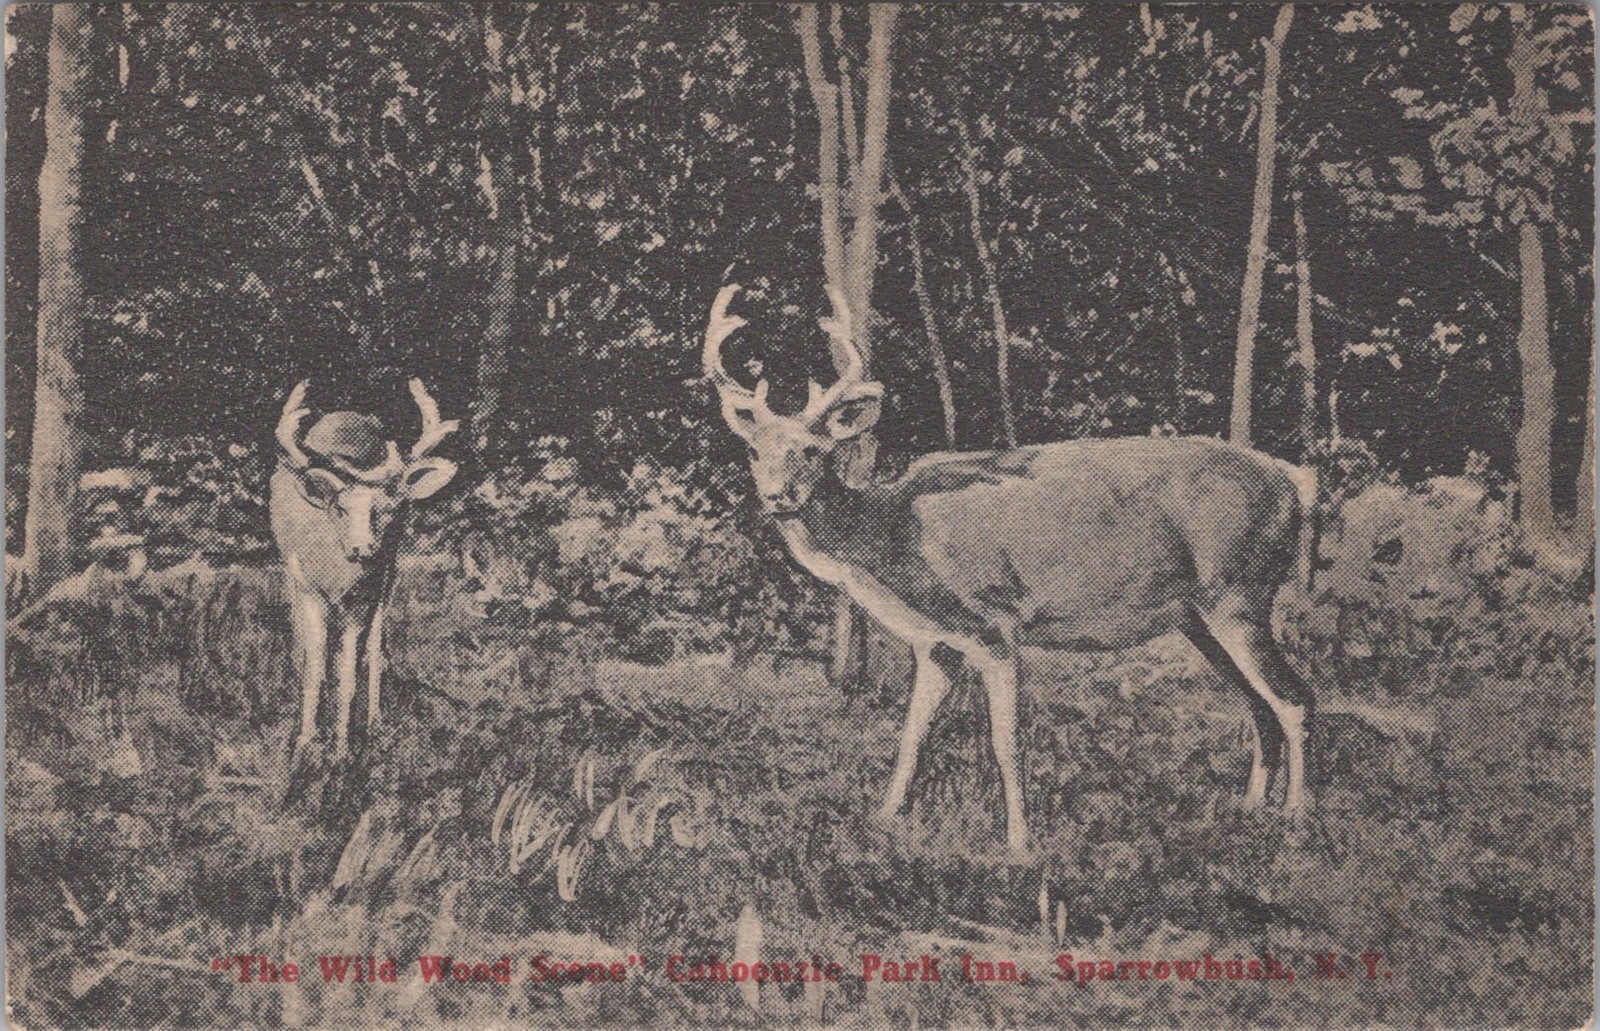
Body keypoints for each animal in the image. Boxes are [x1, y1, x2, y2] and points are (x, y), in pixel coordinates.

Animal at [270, 378, 459, 759]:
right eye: (340, 508)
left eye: (389, 508)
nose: (362, 548)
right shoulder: (308, 586)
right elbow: (314, 661)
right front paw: (305, 742)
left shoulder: (364, 593)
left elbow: (349, 670)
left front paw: (342, 749)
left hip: (389, 571)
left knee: (374, 642)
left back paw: (374, 721)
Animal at [704, 283, 1316, 854]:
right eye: (753, 450)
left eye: (812, 449)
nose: (778, 496)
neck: (894, 544)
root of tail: (1296, 483)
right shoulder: (937, 643)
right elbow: (912, 733)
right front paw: (883, 818)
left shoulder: (994, 622)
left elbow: (1006, 739)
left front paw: (1019, 843)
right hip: (1199, 615)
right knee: (1257, 703)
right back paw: (1249, 810)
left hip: (1239, 590)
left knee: (1294, 697)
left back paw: (1295, 822)